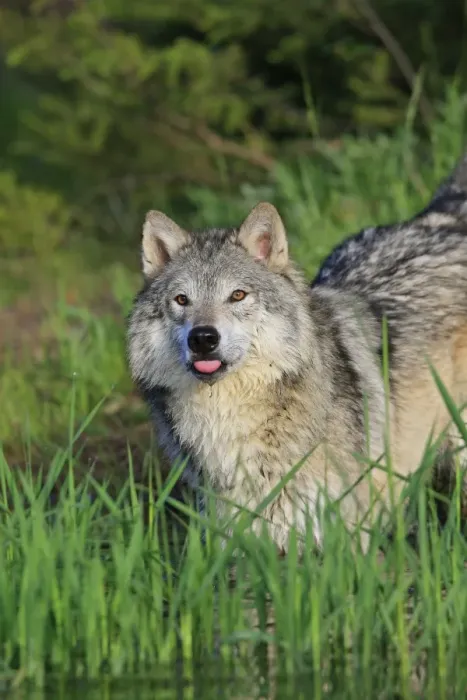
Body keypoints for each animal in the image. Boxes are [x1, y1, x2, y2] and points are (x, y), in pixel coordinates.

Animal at [127, 151, 467, 552]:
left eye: (237, 295)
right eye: (182, 300)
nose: (203, 338)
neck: (228, 421)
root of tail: (446, 214)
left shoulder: (345, 537)